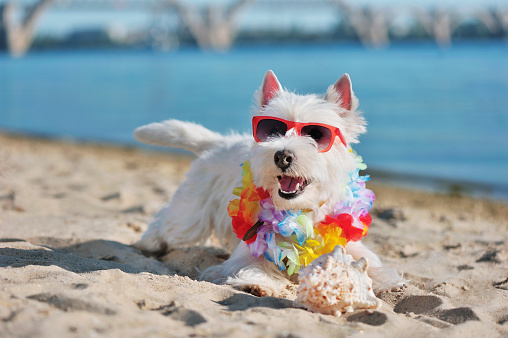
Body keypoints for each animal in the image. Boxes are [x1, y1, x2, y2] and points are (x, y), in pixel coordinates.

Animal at [134, 70, 404, 296]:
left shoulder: (344, 239)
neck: (298, 212)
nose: (282, 156)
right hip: (193, 213)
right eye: (272, 130)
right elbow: (253, 264)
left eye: (316, 134)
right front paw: (255, 283)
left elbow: (366, 261)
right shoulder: (252, 243)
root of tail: (219, 142)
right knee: (169, 221)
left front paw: (384, 280)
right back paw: (150, 242)